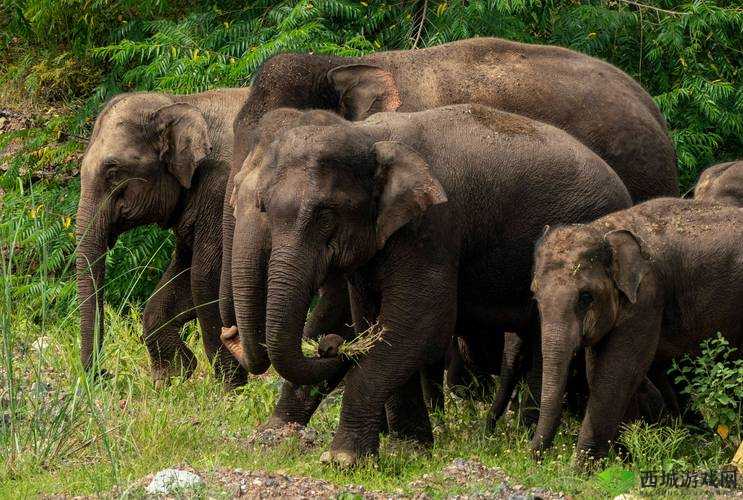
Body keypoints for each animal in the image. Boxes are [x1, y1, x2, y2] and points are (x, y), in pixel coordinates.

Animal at [75, 88, 250, 386]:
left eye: (113, 172)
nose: (105, 374)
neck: (185, 103)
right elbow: (182, 275)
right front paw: (172, 376)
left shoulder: (222, 189)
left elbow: (205, 276)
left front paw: (230, 387)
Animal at [230, 103, 635, 465]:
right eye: (265, 208)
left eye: (326, 215)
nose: (329, 346)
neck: (370, 136)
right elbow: (375, 322)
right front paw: (409, 449)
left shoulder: (433, 228)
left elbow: (421, 323)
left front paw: (344, 458)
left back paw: (528, 443)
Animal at [530, 198, 743, 465]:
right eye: (535, 296)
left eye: (585, 297)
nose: (536, 460)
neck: (605, 229)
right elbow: (598, 370)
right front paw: (626, 459)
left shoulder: (647, 297)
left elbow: (616, 372)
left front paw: (582, 468)